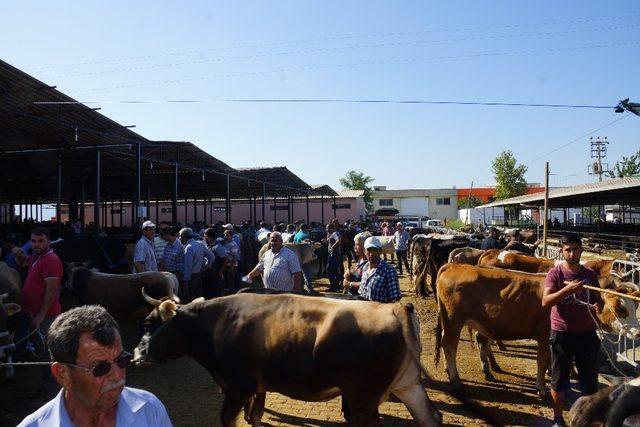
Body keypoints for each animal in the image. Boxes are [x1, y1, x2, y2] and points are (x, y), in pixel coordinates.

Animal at [134, 292, 444, 426]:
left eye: (149, 323)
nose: (136, 354)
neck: (218, 323)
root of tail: (395, 308)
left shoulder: (237, 388)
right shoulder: (256, 388)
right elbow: (255, 415)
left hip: (363, 398)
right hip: (408, 385)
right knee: (432, 417)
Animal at [436, 264, 640, 398]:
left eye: (634, 306)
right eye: (622, 309)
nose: (638, 333)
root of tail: (455, 266)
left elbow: (550, 361)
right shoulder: (545, 335)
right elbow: (542, 361)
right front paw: (542, 389)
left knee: (457, 343)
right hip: (454, 320)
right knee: (450, 346)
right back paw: (456, 379)